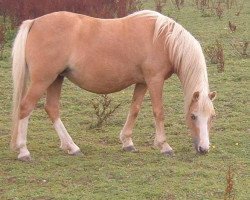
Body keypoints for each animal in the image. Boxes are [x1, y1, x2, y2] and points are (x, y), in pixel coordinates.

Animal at [10, 10, 216, 161]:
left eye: (212, 116)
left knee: (52, 109)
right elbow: (158, 111)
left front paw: (127, 142)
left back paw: (72, 147)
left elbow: (135, 109)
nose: (204, 148)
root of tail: (34, 22)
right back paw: (23, 151)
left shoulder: (142, 82)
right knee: (25, 107)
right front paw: (164, 146)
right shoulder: (154, 80)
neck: (163, 39)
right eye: (193, 116)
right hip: (43, 80)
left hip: (56, 79)